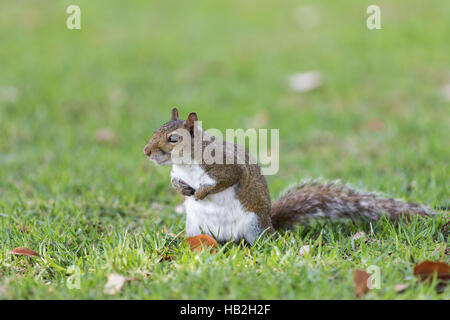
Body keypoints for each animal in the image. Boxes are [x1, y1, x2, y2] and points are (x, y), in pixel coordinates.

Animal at [144, 109, 436, 244]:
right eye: (156, 129)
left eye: (173, 139)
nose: (146, 151)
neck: (186, 163)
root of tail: (270, 225)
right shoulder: (177, 172)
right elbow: (174, 180)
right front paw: (181, 189)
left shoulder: (225, 166)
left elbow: (228, 179)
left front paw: (202, 192)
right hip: (195, 226)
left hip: (253, 225)